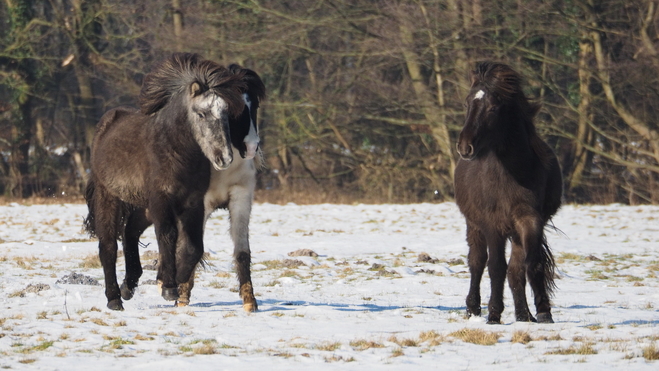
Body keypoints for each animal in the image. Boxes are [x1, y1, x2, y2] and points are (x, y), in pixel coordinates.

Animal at [84, 53, 246, 310]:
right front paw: (169, 286)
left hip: (143, 206)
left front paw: (176, 280)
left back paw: (129, 285)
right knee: (108, 245)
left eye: (226, 115)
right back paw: (114, 298)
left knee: (129, 233)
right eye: (201, 114)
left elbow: (194, 247)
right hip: (109, 197)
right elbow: (168, 236)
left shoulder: (193, 202)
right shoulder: (162, 199)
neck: (174, 150)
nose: (225, 158)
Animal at [456, 61, 564, 326]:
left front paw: (543, 312)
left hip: (514, 232)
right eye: (467, 102)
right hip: (474, 224)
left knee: (516, 269)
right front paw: (494, 314)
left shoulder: (530, 220)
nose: (464, 147)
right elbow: (495, 267)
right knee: (477, 262)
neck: (513, 172)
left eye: (494, 107)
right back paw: (473, 309)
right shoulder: (491, 223)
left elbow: (531, 265)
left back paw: (524, 315)